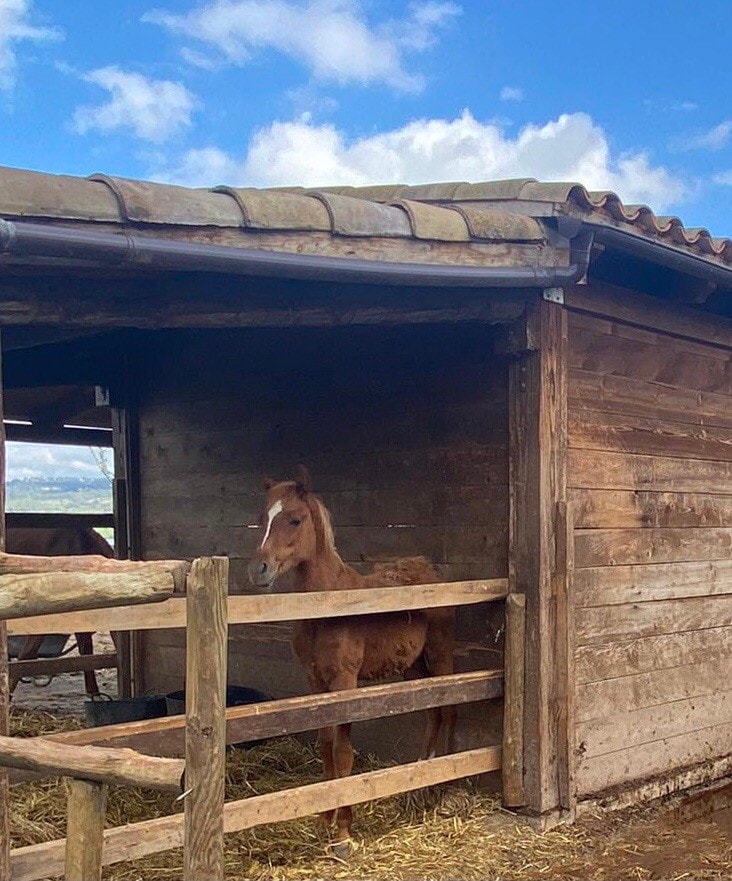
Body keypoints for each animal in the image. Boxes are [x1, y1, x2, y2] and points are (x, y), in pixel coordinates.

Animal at [252, 470, 458, 856]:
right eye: (262, 518)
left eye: (294, 519)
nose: (260, 569)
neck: (328, 608)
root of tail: (428, 569)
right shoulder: (315, 681)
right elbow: (325, 744)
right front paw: (324, 818)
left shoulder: (345, 681)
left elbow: (343, 750)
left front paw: (344, 832)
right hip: (411, 664)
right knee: (432, 710)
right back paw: (422, 777)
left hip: (439, 653)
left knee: (450, 707)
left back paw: (446, 785)